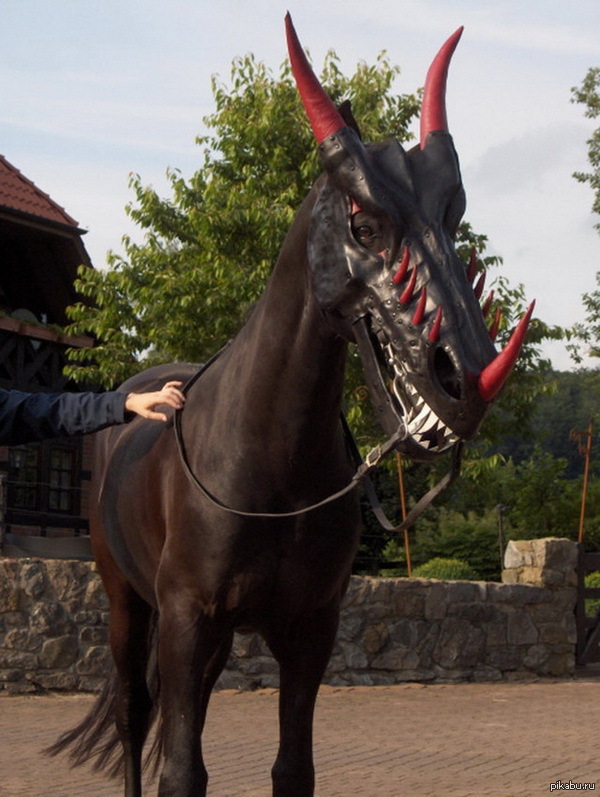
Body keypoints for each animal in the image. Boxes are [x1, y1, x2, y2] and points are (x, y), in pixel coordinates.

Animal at [49, 14, 532, 796]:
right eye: (363, 223)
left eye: (454, 217)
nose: (463, 381)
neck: (271, 458)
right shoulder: (185, 617)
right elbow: (179, 770)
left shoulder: (311, 628)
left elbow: (292, 767)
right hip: (126, 600)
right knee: (132, 713)